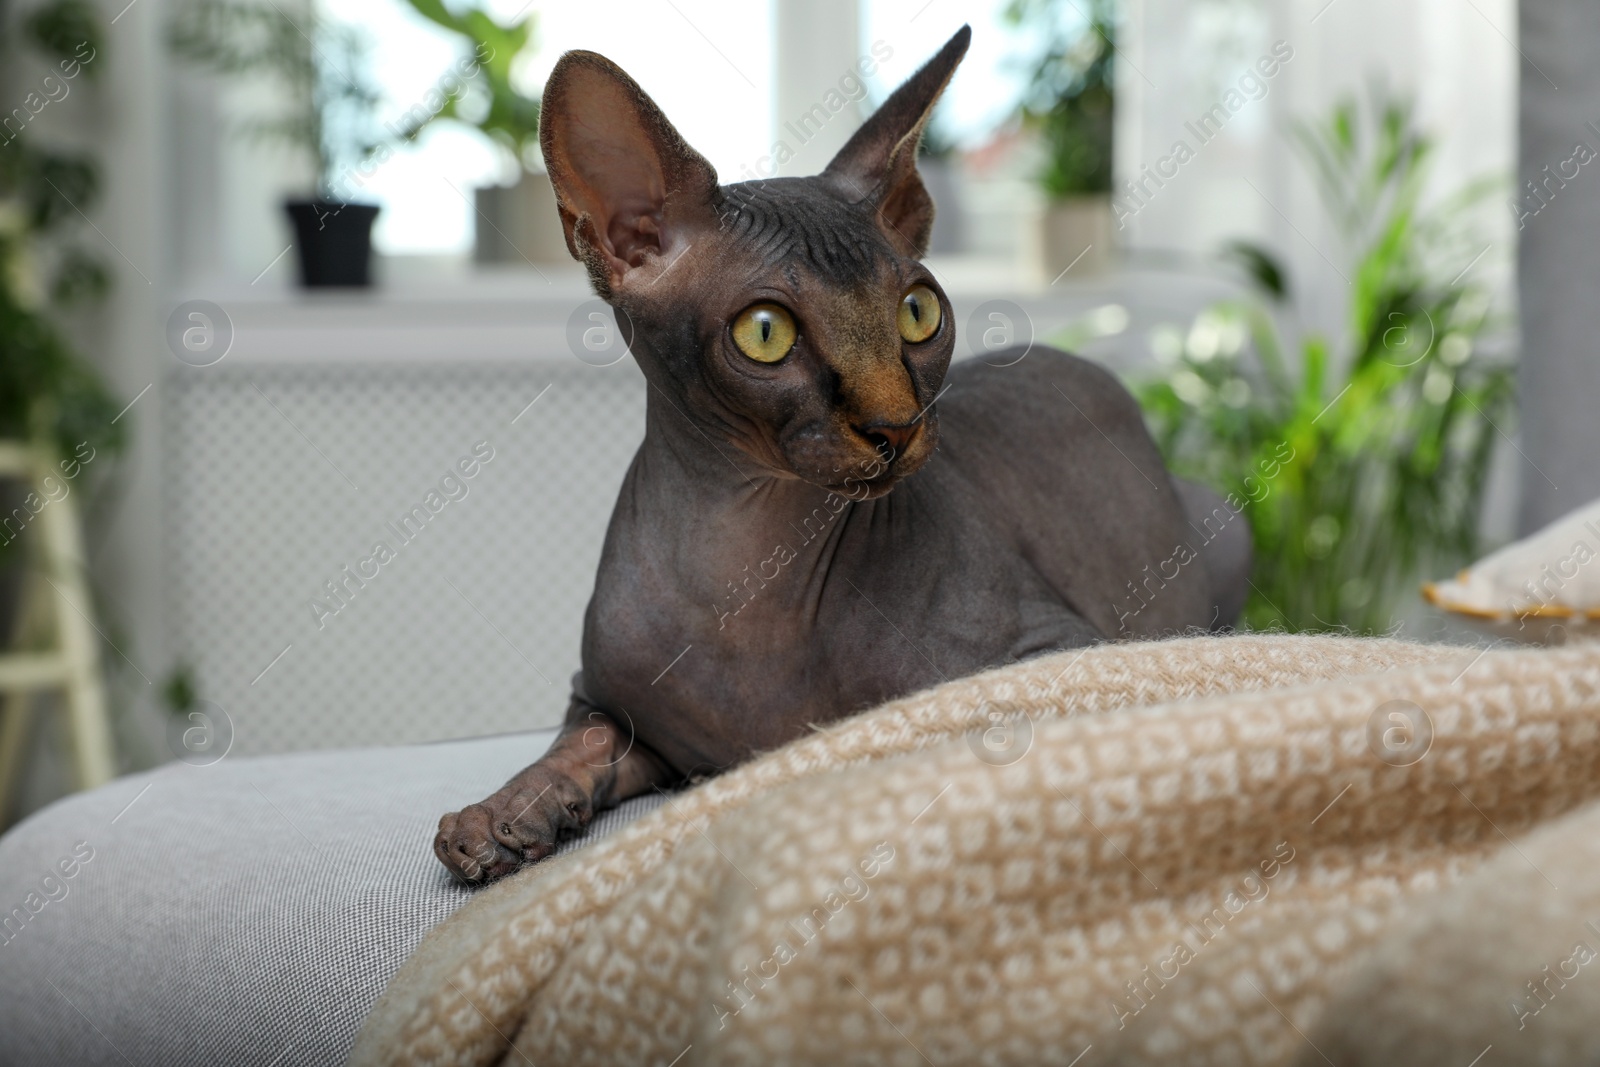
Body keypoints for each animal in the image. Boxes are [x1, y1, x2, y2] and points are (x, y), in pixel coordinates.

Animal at [435, 24, 1248, 883]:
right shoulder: (600, 700)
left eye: (919, 311)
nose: (895, 425)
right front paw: (502, 812)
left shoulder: (1065, 653)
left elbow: (923, 716)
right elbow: (576, 743)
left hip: (1223, 523)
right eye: (765, 332)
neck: (740, 567)